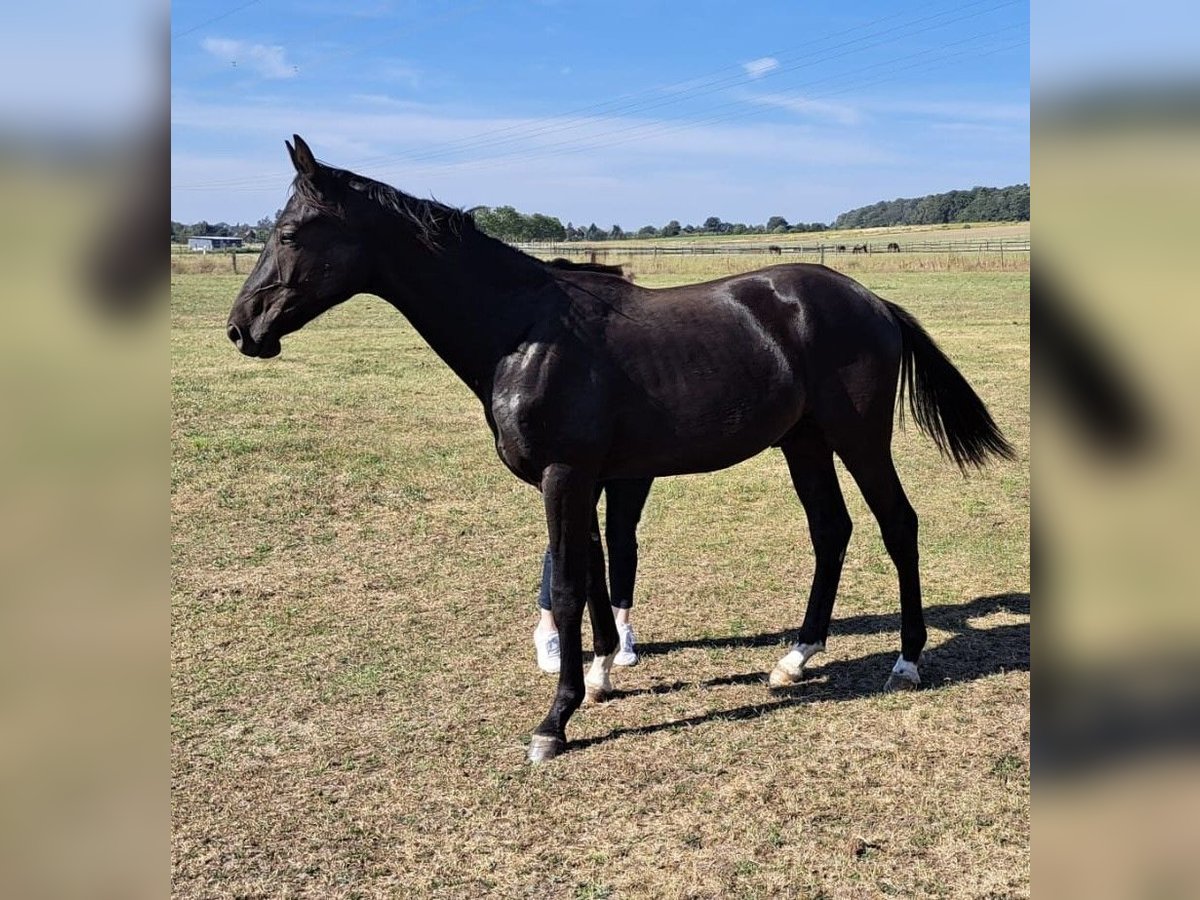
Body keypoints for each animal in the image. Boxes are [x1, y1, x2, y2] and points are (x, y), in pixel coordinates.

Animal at [223, 137, 1012, 763]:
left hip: (857, 439)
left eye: (290, 233)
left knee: (896, 525)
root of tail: (872, 301)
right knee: (831, 530)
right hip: (804, 443)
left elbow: (574, 585)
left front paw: (556, 720)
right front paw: (603, 677)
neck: (525, 330)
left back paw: (906, 661)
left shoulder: (564, 477)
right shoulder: (593, 480)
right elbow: (599, 573)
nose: (240, 328)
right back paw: (795, 657)